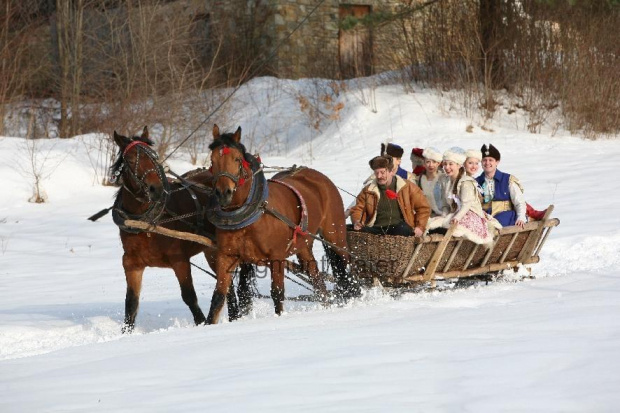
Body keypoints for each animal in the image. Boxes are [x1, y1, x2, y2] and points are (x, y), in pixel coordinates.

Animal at [111, 125, 252, 332]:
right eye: (129, 160)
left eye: (154, 157)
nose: (155, 189)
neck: (147, 222)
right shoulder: (131, 264)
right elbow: (131, 303)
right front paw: (125, 333)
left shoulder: (180, 260)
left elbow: (189, 297)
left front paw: (201, 322)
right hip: (212, 251)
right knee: (227, 285)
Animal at [205, 124, 358, 324]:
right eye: (212, 160)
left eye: (236, 159)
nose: (224, 193)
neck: (253, 213)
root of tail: (319, 178)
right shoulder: (226, 257)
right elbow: (218, 297)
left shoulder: (276, 257)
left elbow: (277, 293)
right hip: (303, 246)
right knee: (317, 279)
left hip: (335, 235)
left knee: (347, 264)